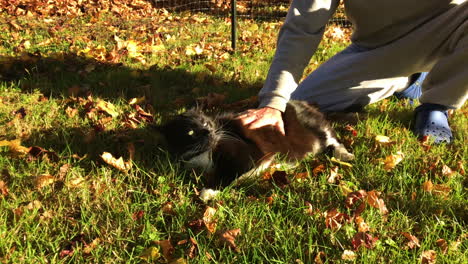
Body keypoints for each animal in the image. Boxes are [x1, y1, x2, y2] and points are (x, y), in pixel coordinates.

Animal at [159, 99, 352, 192]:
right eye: (190, 132)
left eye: (205, 123)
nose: (208, 132)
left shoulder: (248, 153)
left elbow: (228, 174)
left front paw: (208, 192)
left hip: (316, 129)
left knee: (332, 139)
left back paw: (345, 155)